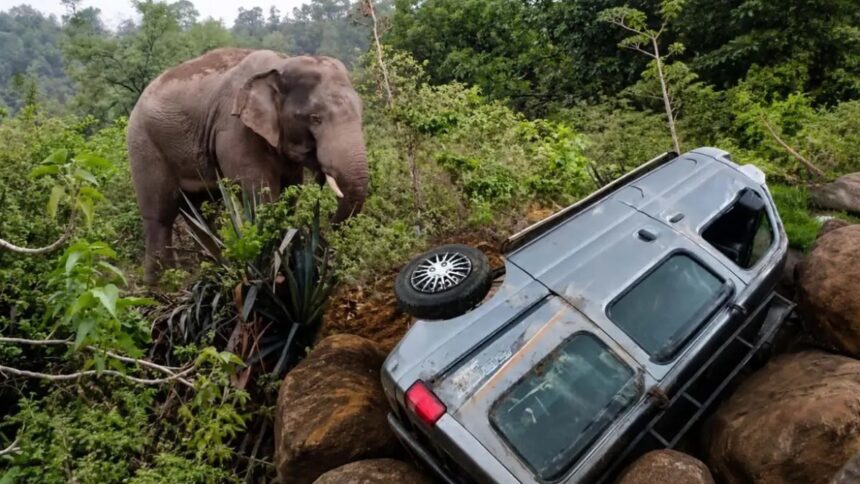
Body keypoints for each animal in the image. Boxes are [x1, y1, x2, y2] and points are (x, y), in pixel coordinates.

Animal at [127, 48, 369, 284]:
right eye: (315, 118)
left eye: (361, 112)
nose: (327, 224)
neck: (282, 63)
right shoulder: (235, 130)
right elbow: (260, 196)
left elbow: (290, 191)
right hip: (143, 146)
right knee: (160, 216)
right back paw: (160, 288)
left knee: (200, 214)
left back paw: (215, 273)